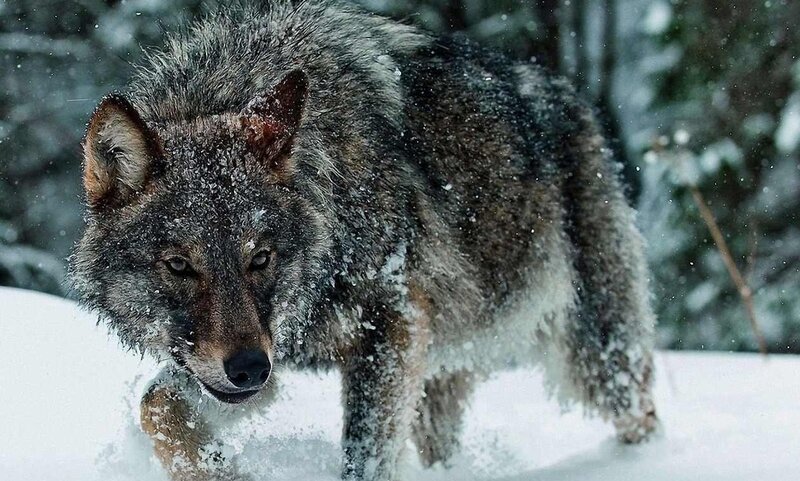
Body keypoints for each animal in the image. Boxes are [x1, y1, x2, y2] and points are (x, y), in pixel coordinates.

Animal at [71, 1, 658, 480]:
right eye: (178, 265)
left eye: (260, 258)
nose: (249, 368)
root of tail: (572, 96)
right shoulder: (266, 352)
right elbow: (156, 404)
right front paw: (219, 472)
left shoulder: (389, 324)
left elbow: (365, 460)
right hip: (438, 381)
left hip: (598, 357)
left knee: (643, 414)